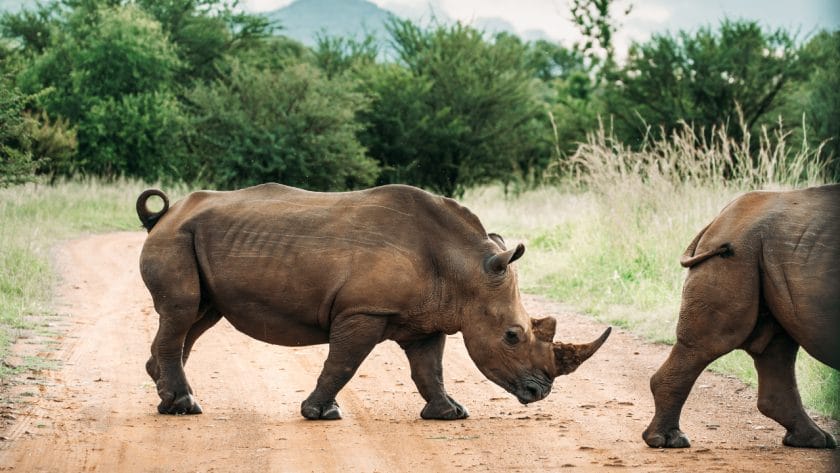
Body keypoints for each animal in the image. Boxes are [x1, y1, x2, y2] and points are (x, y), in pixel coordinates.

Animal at [138, 183, 612, 418]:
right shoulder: (363, 310)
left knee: (198, 318)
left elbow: (429, 369)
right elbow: (343, 362)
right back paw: (184, 407)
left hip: (192, 240)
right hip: (176, 239)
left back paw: (167, 399)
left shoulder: (429, 318)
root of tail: (163, 215)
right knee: (182, 312)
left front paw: (450, 414)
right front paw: (320, 413)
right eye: (512, 335)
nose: (539, 392)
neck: (464, 268)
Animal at [648, 183, 836, 448]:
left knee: (777, 344)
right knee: (711, 342)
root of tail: (718, 219)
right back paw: (668, 440)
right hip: (737, 254)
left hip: (763, 251)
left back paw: (813, 440)